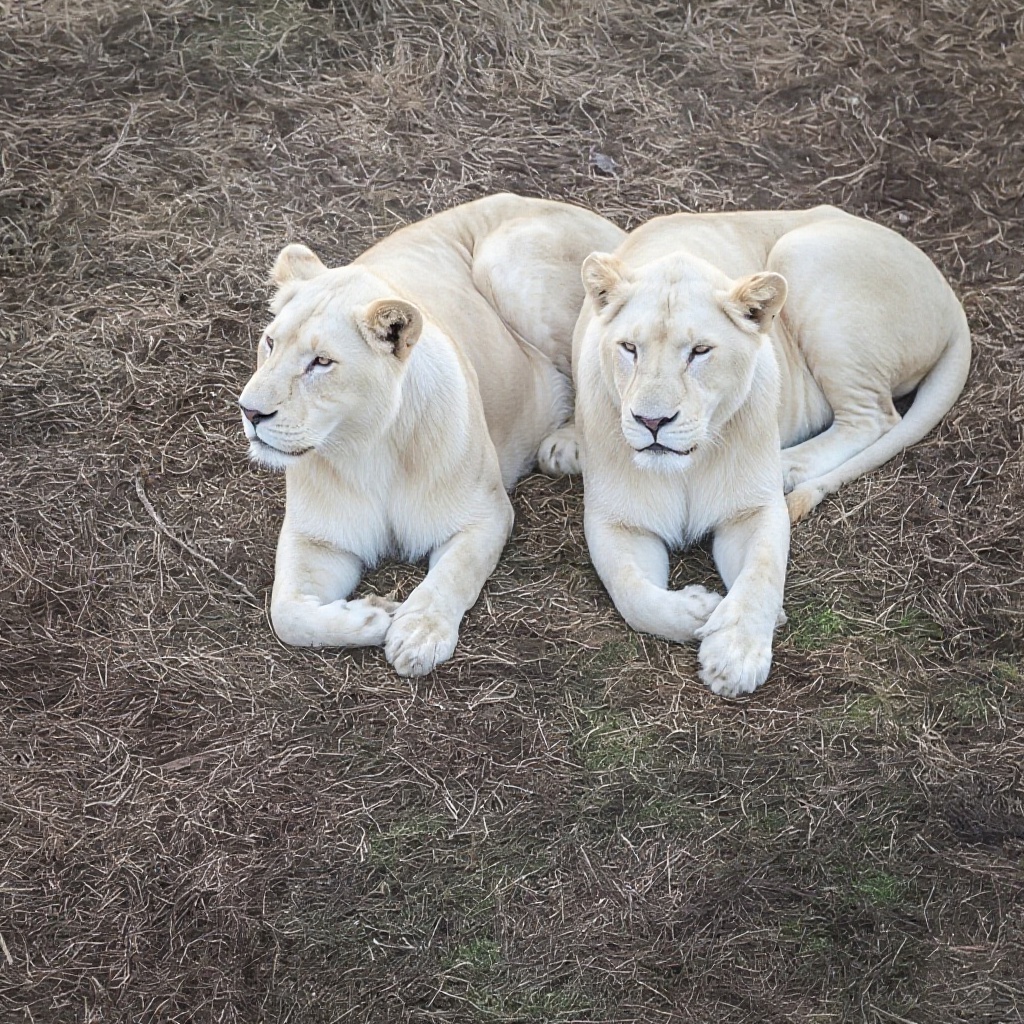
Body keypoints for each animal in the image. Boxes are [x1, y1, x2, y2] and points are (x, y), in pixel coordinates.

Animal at [238, 193, 625, 676]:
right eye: (270, 343)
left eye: (322, 362)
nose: (250, 412)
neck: (367, 449)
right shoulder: (316, 535)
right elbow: (287, 612)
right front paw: (374, 614)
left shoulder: (485, 513)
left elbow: (452, 576)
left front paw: (418, 634)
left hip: (506, 258)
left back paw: (565, 446)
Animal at [572, 205, 971, 697]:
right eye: (629, 347)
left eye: (700, 351)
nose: (652, 422)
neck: (688, 466)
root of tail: (950, 297)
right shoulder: (615, 520)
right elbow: (632, 592)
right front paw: (703, 609)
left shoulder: (755, 509)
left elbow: (763, 570)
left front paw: (736, 654)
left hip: (805, 258)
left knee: (876, 417)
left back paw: (787, 466)